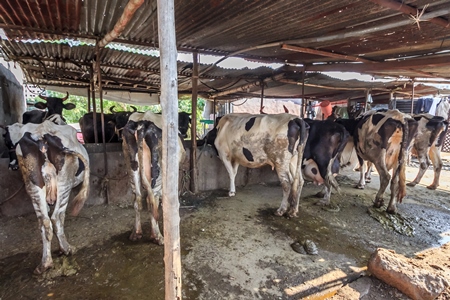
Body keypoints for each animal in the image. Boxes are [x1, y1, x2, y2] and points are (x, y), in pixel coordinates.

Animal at [5, 120, 89, 274]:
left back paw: (45, 263)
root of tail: (41, 134)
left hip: (34, 184)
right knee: (56, 217)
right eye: (7, 142)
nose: (12, 166)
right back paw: (66, 249)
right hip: (64, 183)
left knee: (44, 221)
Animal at [120, 111, 185, 245]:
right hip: (158, 170)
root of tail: (142, 123)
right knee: (152, 201)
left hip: (131, 165)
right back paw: (158, 237)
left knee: (137, 199)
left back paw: (136, 233)